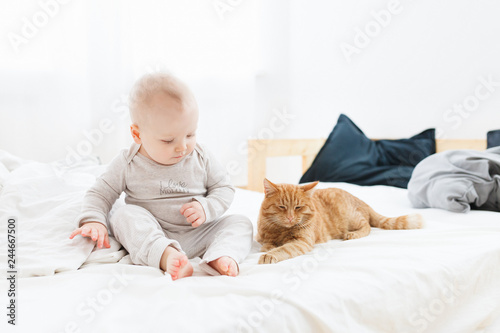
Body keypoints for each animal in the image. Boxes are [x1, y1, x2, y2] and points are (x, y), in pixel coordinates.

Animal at [256, 178, 424, 264]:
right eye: (282, 207)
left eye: (298, 207)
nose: (290, 217)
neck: (280, 229)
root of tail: (362, 200)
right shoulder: (262, 236)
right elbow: (266, 243)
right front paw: (267, 247)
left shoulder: (301, 241)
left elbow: (284, 248)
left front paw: (269, 255)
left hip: (352, 218)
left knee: (367, 226)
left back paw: (352, 234)